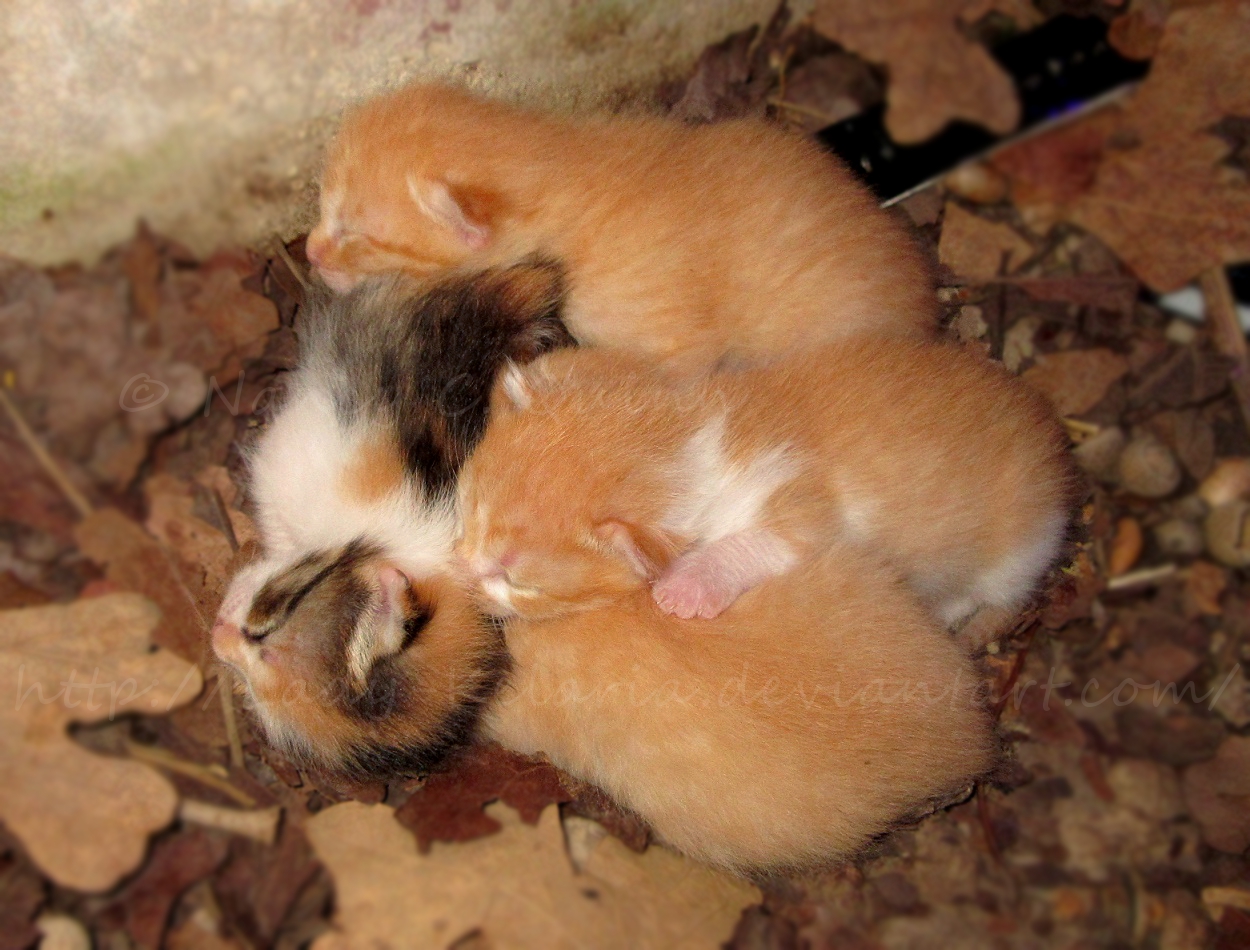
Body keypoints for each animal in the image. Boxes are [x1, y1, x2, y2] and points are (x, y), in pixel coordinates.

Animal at [460, 345, 1075, 650]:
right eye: (465, 518)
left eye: (518, 581)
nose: (462, 580)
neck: (694, 436)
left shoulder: (809, 507)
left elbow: (761, 542)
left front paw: (686, 586)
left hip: (1023, 540)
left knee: (1003, 597)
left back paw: (960, 622)